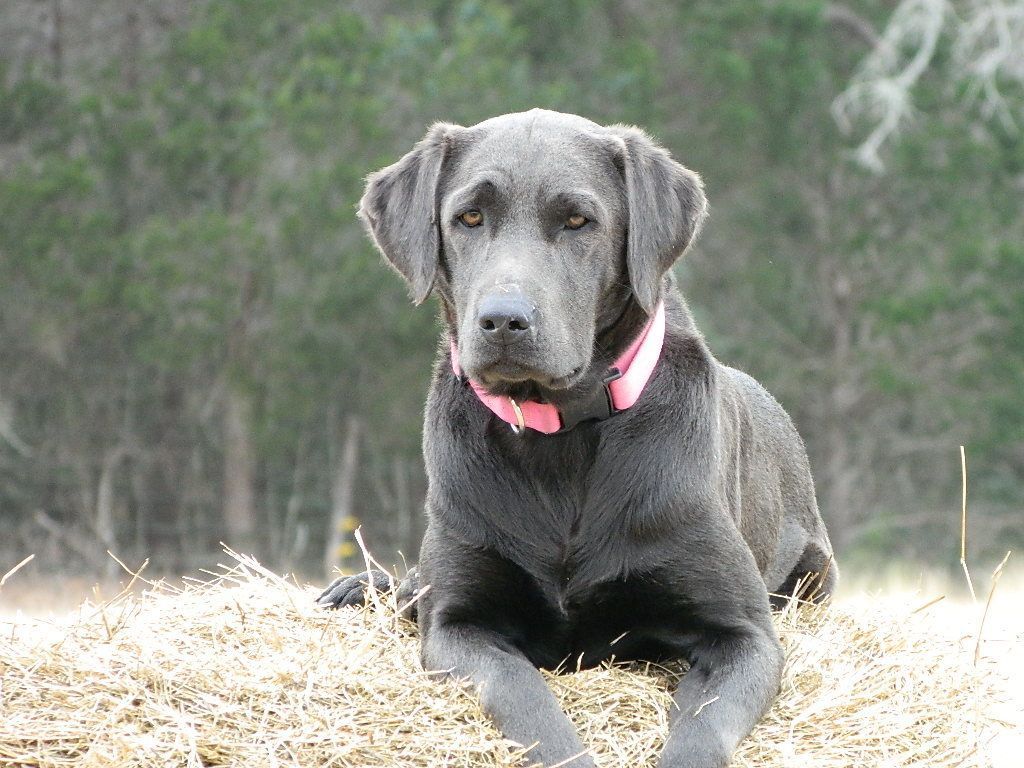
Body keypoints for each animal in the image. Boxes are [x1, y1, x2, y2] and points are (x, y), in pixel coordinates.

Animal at [317, 109, 831, 768]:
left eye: (579, 221)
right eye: (469, 217)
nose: (503, 320)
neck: (558, 434)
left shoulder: (743, 635)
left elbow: (700, 733)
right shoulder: (458, 624)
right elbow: (528, 703)